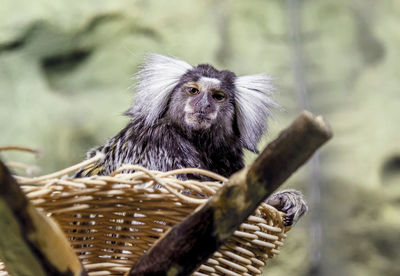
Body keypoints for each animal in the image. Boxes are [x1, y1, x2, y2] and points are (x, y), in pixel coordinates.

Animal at [75, 54, 306, 226]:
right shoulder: (157, 142)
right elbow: (183, 192)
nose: (203, 106)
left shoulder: (228, 153)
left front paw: (283, 199)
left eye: (217, 96)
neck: (197, 141)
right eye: (193, 91)